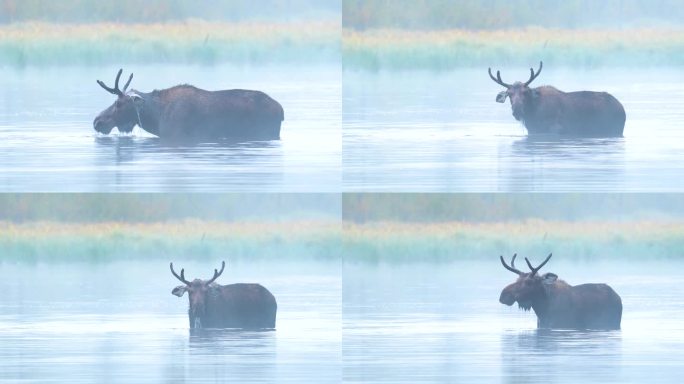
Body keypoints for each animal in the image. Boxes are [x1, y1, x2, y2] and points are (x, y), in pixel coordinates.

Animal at [486, 61, 624, 136]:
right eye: (509, 94)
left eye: (525, 92)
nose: (517, 110)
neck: (532, 115)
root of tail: (622, 109)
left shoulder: (556, 130)